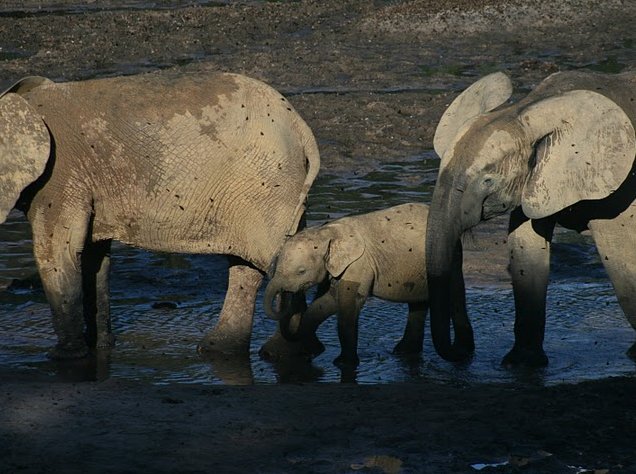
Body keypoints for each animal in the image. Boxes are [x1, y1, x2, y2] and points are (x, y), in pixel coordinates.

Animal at [0, 70, 318, 360]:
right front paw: (101, 348)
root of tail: (300, 125)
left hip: (269, 186)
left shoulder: (60, 176)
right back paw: (222, 349)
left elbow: (58, 255)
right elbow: (93, 258)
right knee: (252, 265)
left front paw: (65, 358)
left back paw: (285, 353)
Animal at [262, 202, 472, 368]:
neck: (327, 232)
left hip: (450, 258)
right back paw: (403, 352)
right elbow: (326, 301)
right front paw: (316, 350)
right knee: (418, 303)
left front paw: (342, 363)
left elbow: (344, 303)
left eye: (301, 271)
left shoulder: (359, 265)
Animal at [424, 69, 636, 366]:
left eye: (488, 181)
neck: (528, 109)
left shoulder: (619, 186)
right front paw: (522, 363)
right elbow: (526, 248)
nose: (465, 350)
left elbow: (620, 258)